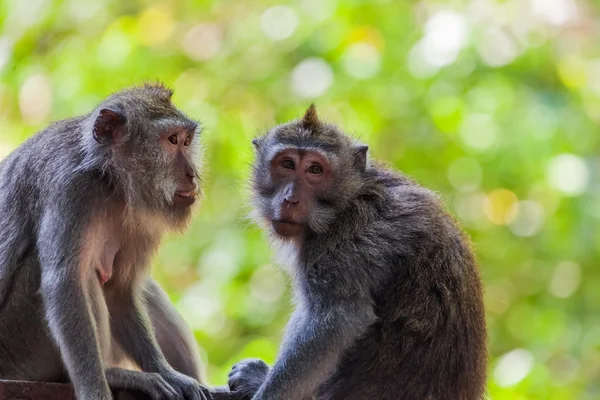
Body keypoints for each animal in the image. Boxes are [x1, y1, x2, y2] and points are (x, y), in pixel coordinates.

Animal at [0, 83, 213, 400]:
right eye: (172, 140)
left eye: (187, 141)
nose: (192, 175)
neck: (108, 179)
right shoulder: (71, 190)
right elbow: (64, 284)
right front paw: (95, 389)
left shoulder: (142, 216)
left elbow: (120, 289)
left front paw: (168, 373)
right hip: (20, 347)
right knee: (80, 275)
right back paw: (112, 374)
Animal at [225, 105, 488, 400]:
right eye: (287, 165)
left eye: (315, 169)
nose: (290, 199)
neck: (347, 201)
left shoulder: (344, 246)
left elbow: (336, 320)